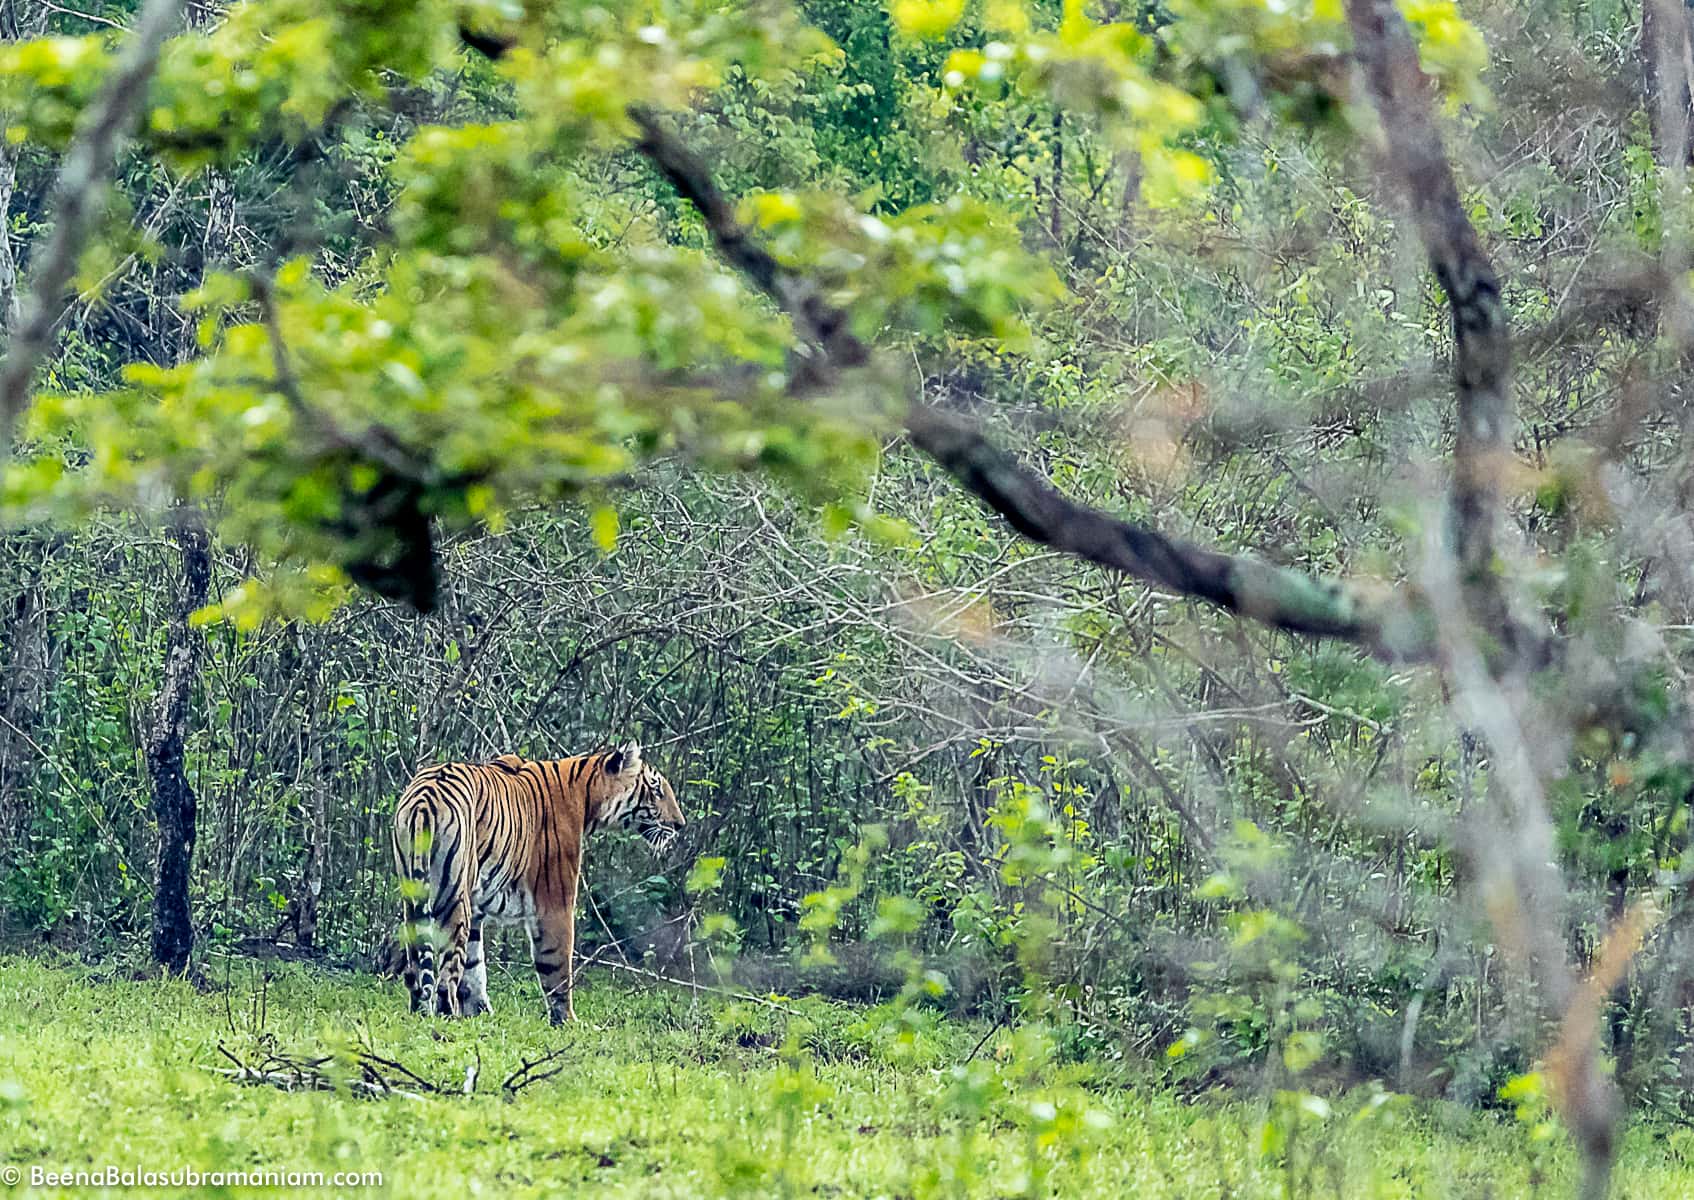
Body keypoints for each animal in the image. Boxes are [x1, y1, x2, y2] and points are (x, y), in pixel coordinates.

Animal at [393, 738, 684, 1023]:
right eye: (656, 789)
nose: (680, 825)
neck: (586, 792)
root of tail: (425, 798)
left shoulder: (475, 906)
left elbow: (474, 966)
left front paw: (480, 1012)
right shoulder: (554, 899)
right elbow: (557, 964)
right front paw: (567, 1021)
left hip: (414, 894)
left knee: (417, 965)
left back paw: (421, 1011)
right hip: (453, 895)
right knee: (446, 974)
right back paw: (446, 1014)